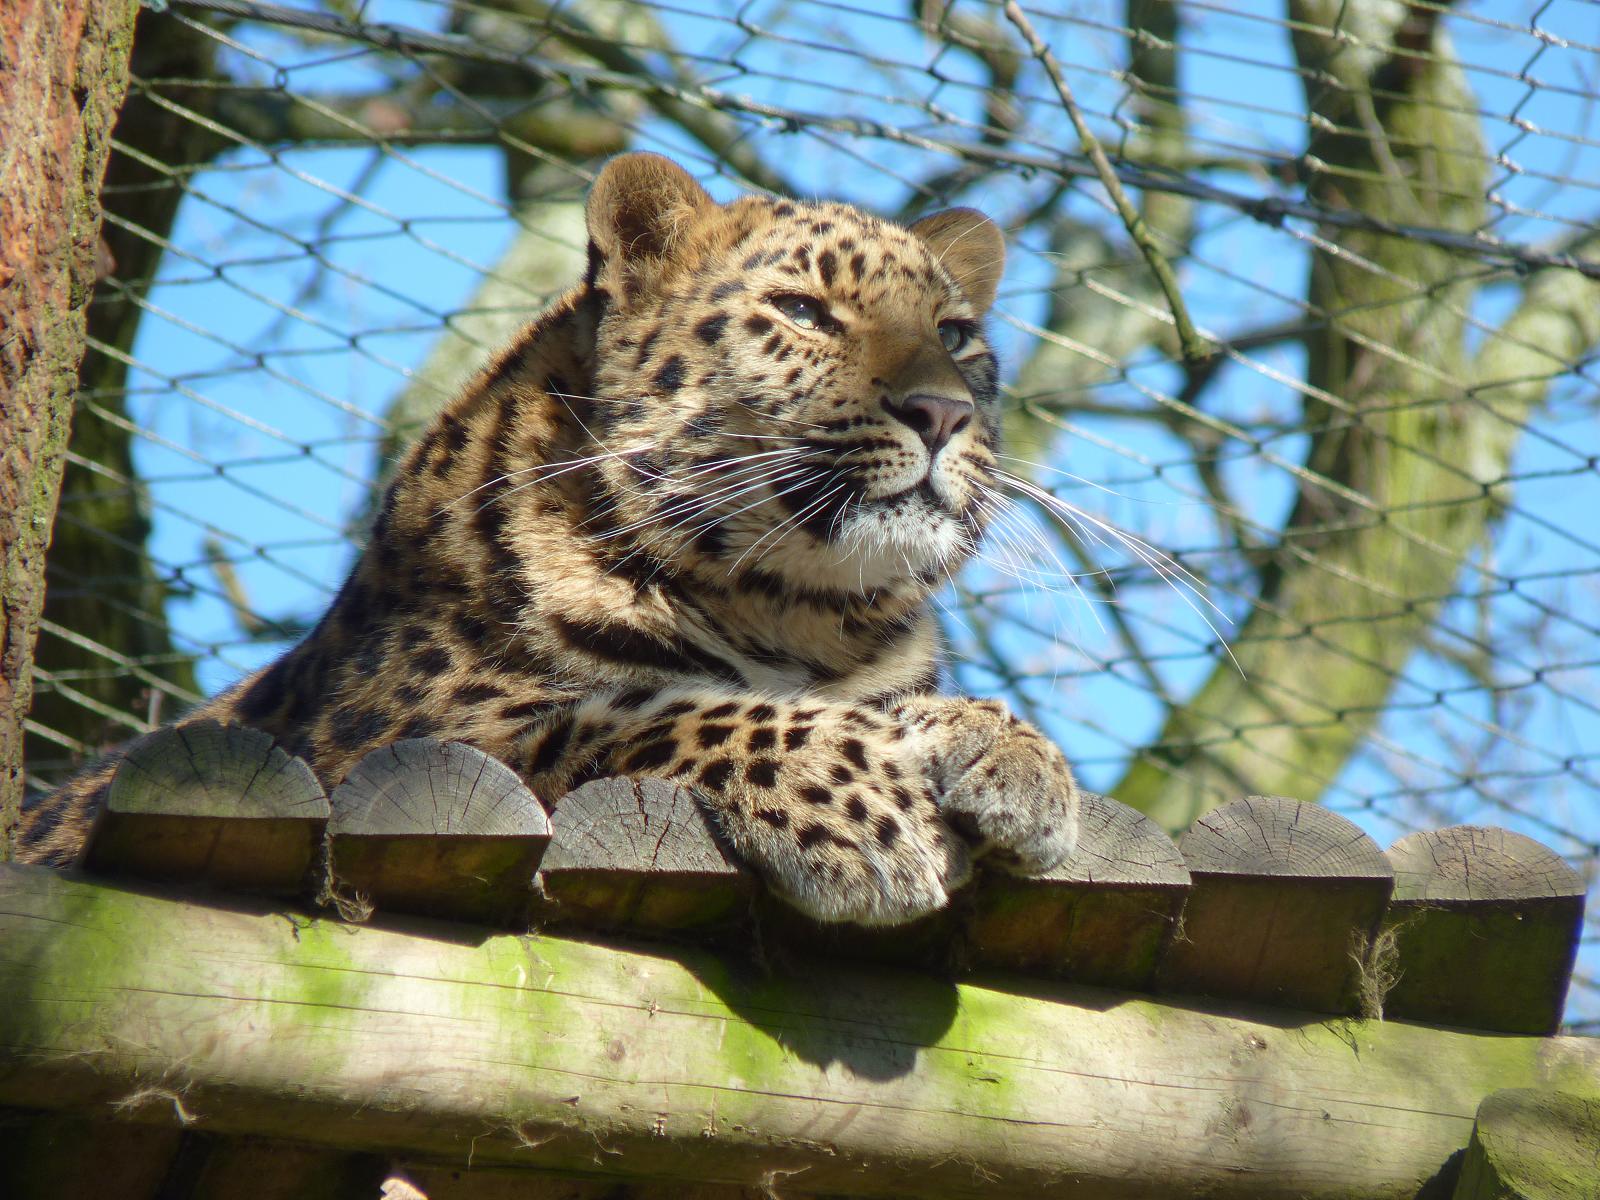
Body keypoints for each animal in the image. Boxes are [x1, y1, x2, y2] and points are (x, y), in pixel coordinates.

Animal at [19, 152, 1079, 927]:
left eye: (958, 335)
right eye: (802, 312)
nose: (942, 411)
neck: (794, 609)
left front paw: (1017, 758)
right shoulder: (414, 741)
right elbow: (656, 713)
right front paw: (870, 806)